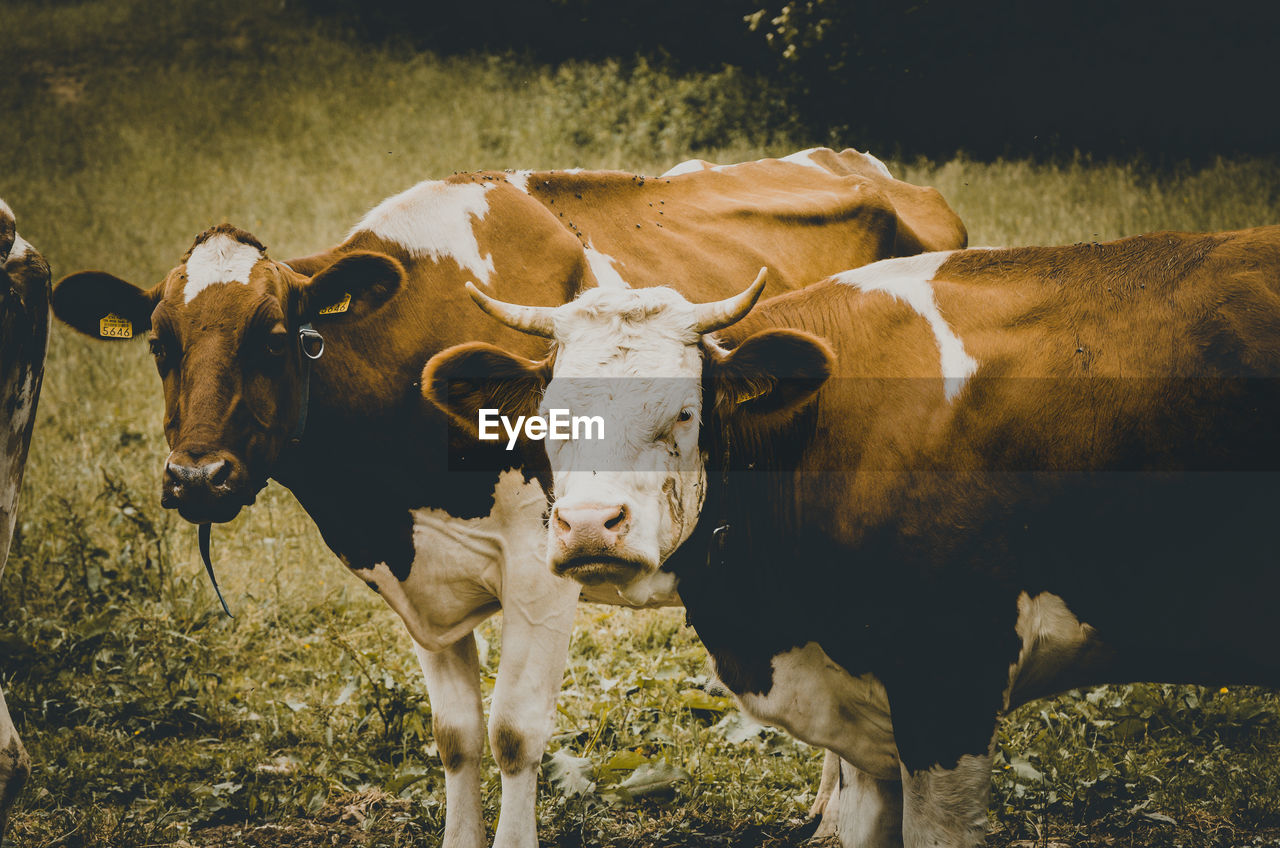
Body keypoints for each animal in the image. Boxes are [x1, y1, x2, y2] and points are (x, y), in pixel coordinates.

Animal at [52, 149, 967, 845]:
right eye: (159, 344)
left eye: (275, 338)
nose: (197, 478)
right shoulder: (418, 576)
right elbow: (456, 739)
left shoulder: (542, 560)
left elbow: (515, 733)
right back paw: (829, 808)